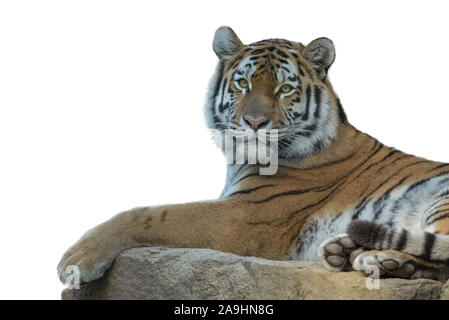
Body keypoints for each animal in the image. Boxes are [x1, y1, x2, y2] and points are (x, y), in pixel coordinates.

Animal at [57, 25, 448, 284]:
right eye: (243, 84)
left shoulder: (241, 217)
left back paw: (379, 259)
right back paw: (346, 253)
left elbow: (151, 214)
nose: (255, 122)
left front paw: (75, 259)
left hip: (439, 200)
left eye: (285, 89)